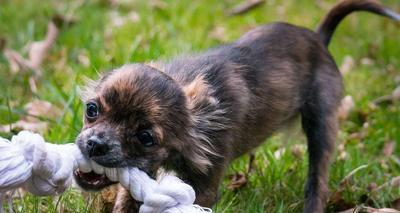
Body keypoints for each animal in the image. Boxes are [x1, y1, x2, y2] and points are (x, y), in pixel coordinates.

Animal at [73, 0, 398, 212]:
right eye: (91, 109)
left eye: (145, 138)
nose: (95, 144)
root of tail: (318, 38)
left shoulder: (204, 186)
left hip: (322, 123)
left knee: (317, 181)